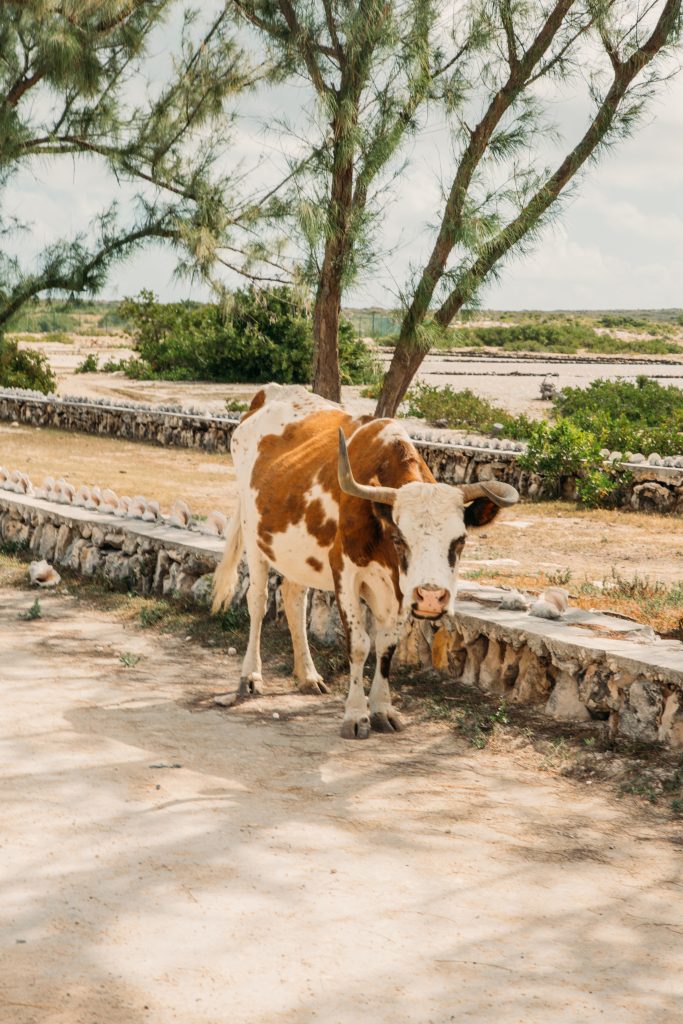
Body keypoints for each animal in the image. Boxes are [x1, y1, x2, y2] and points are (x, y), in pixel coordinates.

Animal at [214, 385, 518, 737]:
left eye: (461, 540)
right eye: (400, 538)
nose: (431, 597)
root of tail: (268, 393)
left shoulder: (401, 590)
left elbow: (387, 646)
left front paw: (383, 709)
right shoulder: (345, 574)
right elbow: (359, 644)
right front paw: (356, 715)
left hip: (298, 555)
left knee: (294, 599)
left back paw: (308, 675)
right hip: (254, 535)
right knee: (258, 600)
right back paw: (250, 676)